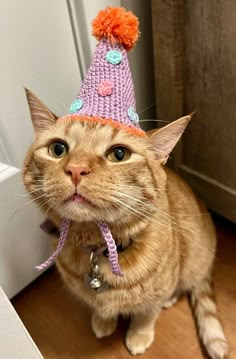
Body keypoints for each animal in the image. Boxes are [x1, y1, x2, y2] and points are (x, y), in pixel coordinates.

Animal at [24, 89, 229, 359]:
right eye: (58, 149)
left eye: (119, 154)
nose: (76, 169)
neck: (98, 251)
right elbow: (100, 308)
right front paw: (103, 321)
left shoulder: (157, 292)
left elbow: (146, 314)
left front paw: (139, 335)